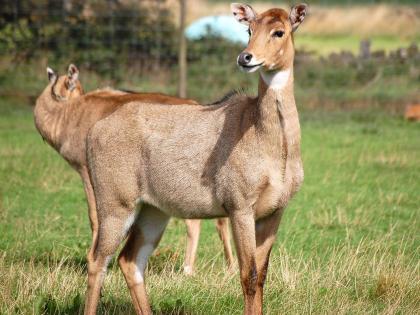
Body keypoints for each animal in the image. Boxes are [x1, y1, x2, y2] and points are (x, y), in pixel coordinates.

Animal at [32, 65, 235, 276]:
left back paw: (188, 268)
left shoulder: (85, 171)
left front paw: (92, 257)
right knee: (220, 221)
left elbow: (94, 216)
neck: (68, 112)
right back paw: (230, 267)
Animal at [84, 3, 308, 315]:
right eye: (249, 30)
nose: (246, 57)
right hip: (116, 204)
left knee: (130, 261)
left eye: (280, 31)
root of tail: (94, 130)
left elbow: (262, 274)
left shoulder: (275, 211)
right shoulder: (240, 207)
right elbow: (248, 275)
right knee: (97, 260)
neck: (274, 145)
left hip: (153, 210)